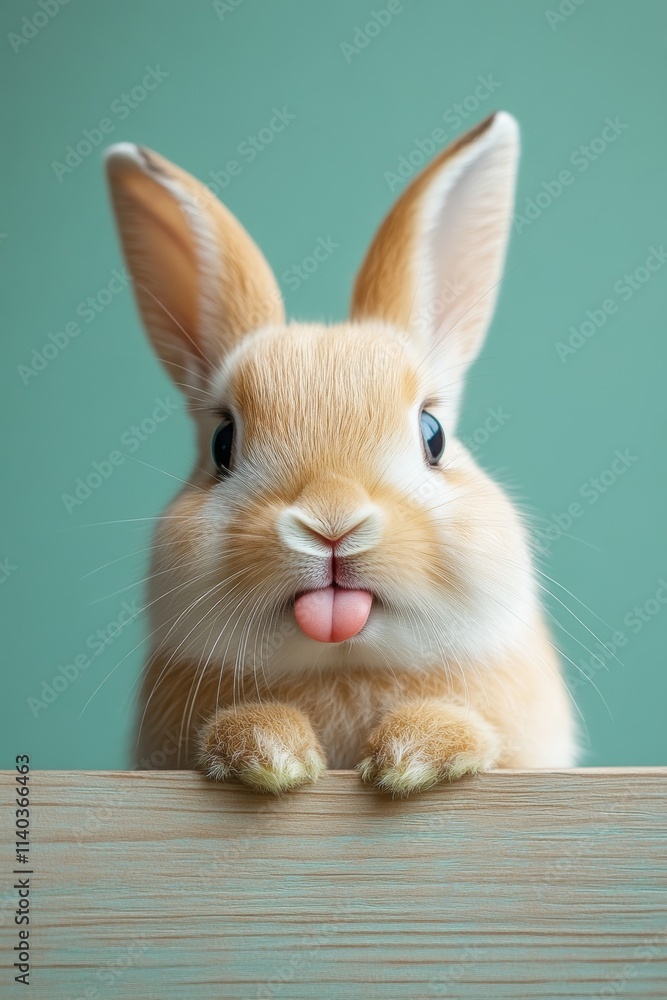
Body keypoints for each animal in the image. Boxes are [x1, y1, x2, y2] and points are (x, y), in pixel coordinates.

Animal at [104, 111, 576, 796]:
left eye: (433, 434)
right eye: (222, 444)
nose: (332, 523)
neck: (343, 663)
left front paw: (414, 754)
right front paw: (269, 752)